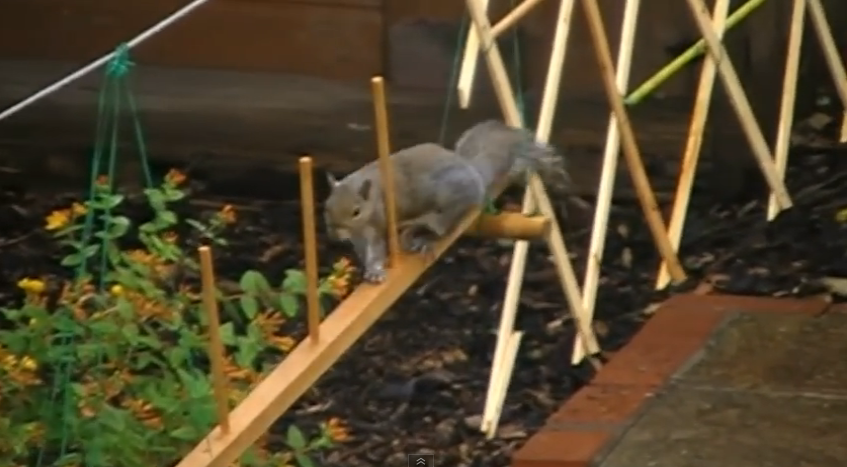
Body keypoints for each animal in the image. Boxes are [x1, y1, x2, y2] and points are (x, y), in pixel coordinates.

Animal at [323, 119, 578, 283]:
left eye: (356, 211)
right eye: (326, 207)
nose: (333, 235)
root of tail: (475, 176)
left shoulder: (378, 219)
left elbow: (377, 247)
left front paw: (376, 270)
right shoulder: (359, 234)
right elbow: (364, 249)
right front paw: (368, 267)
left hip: (449, 198)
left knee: (444, 225)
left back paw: (424, 235)